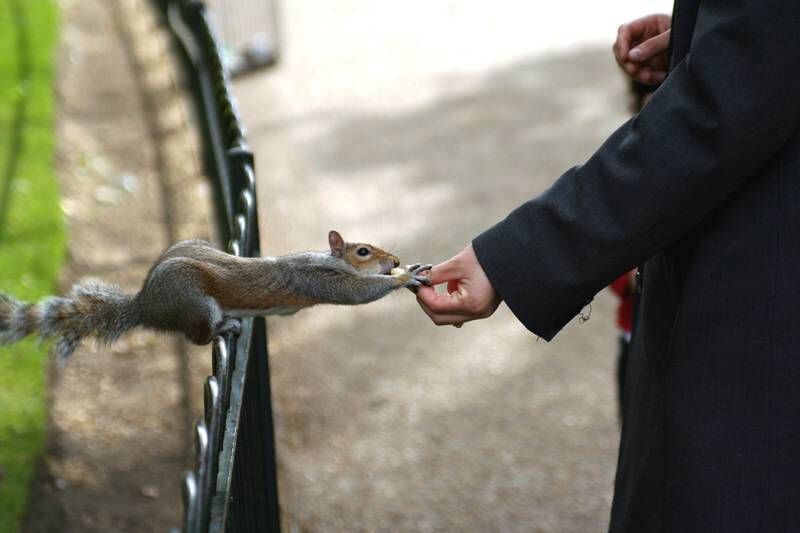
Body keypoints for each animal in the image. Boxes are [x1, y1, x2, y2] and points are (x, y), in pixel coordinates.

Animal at [0, 230, 432, 362]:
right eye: (363, 251)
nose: (394, 260)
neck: (328, 261)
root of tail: (146, 305)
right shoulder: (315, 281)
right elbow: (356, 293)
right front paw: (403, 278)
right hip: (196, 304)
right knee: (197, 336)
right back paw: (223, 328)